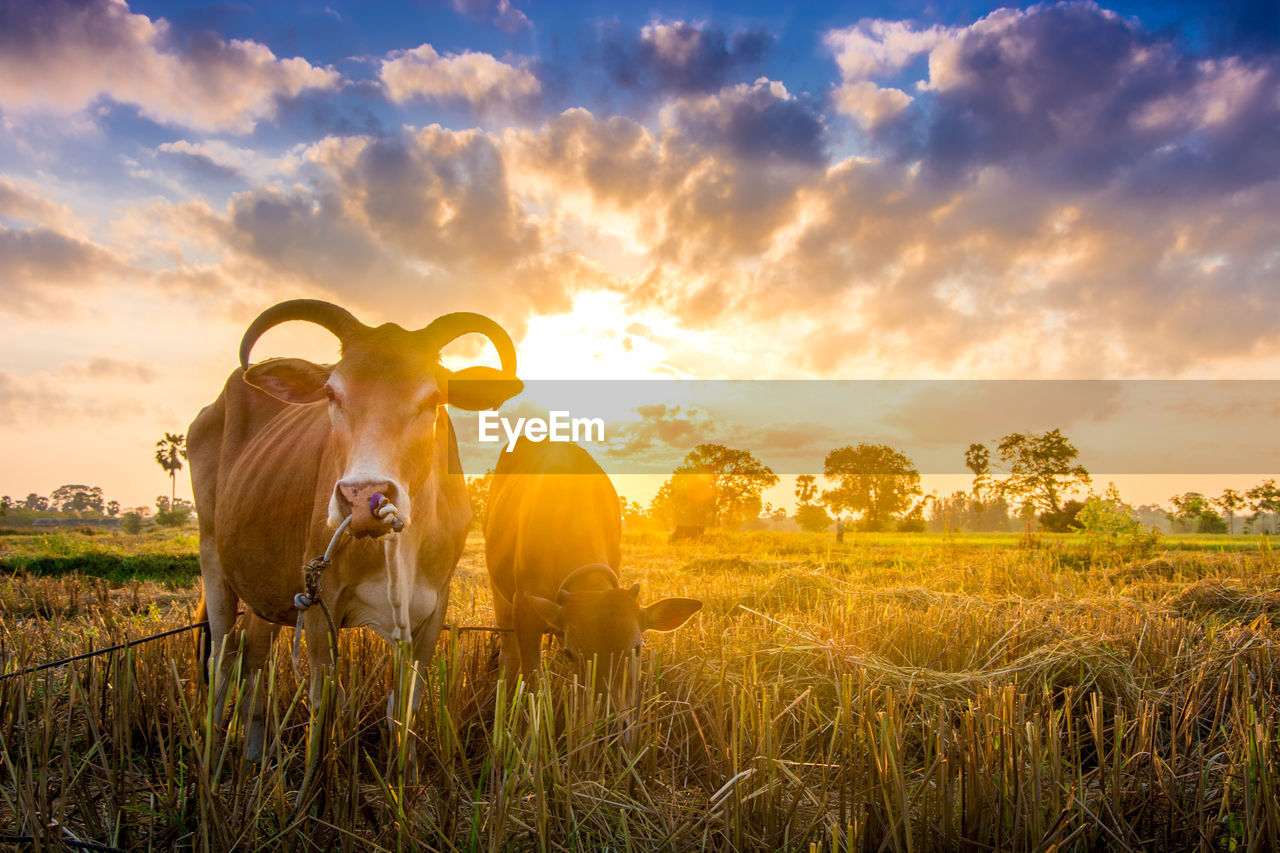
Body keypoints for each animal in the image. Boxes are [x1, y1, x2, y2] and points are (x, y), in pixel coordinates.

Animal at [189, 298, 519, 758]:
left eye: (432, 398)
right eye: (332, 393)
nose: (364, 497)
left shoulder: (430, 612)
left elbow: (404, 709)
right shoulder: (318, 604)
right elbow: (327, 708)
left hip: (262, 591)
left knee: (251, 658)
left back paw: (254, 753)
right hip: (214, 563)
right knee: (220, 662)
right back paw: (210, 758)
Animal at [481, 435, 701, 712]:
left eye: (637, 648)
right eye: (570, 653)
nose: (611, 718)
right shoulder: (525, 607)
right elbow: (533, 680)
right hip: (498, 591)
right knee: (508, 653)